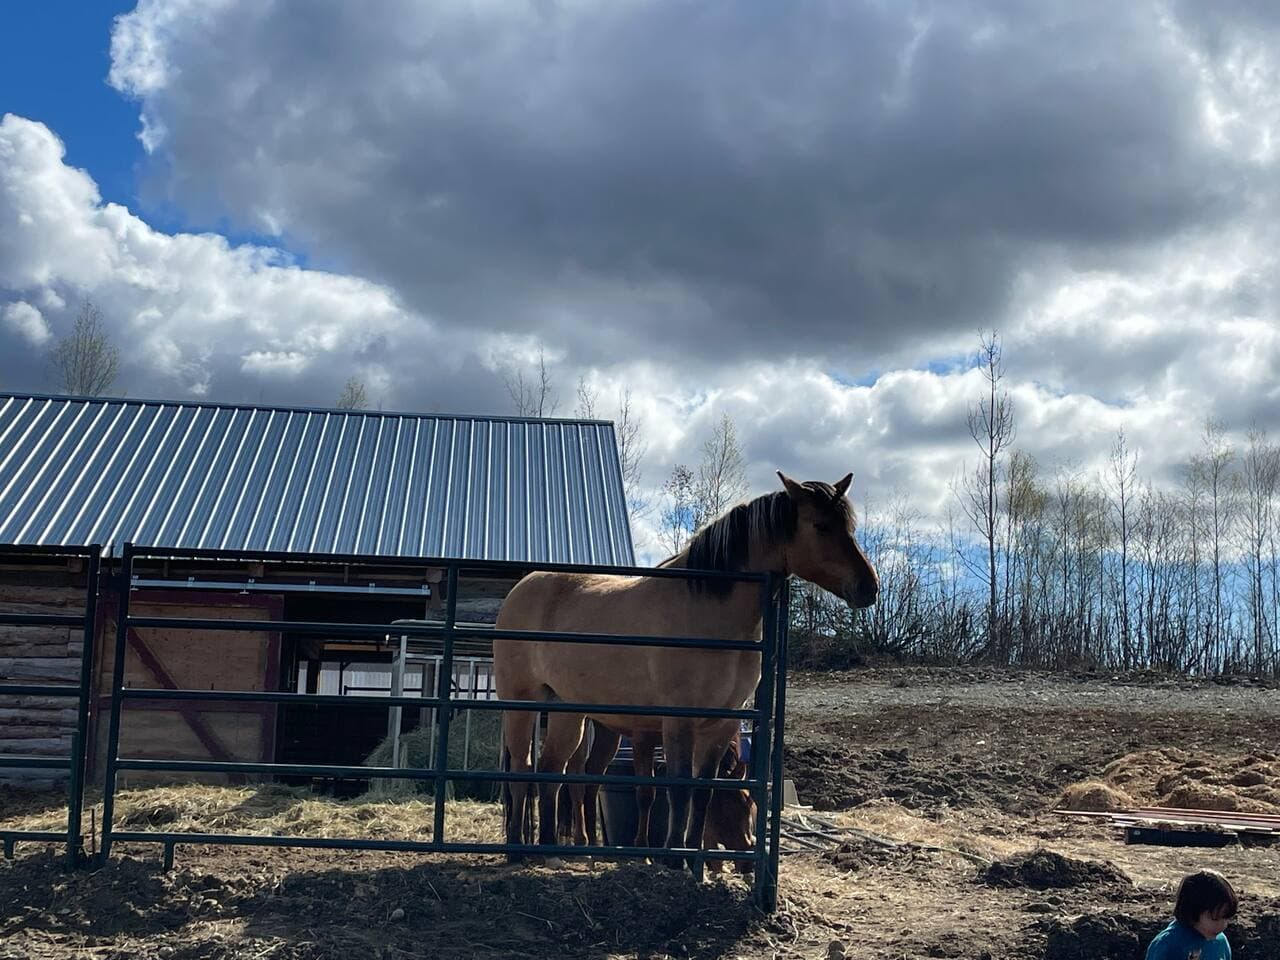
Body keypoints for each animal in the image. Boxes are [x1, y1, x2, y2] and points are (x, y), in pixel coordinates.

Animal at [493, 471, 878, 876]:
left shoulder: (719, 724)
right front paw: (672, 859)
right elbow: (677, 789)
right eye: (821, 526)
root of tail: (521, 588)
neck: (708, 609)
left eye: (849, 527)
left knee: (553, 770)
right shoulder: (678, 721)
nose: (869, 588)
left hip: (569, 712)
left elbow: (702, 791)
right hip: (521, 704)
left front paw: (695, 863)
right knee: (522, 769)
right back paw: (517, 850)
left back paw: (552, 851)